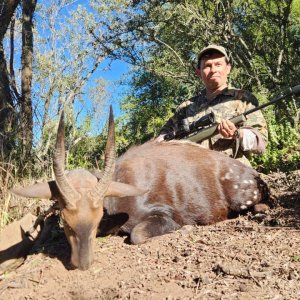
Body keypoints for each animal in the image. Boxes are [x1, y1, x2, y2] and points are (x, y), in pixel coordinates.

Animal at [11, 107, 268, 270]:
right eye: (65, 221)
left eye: (97, 218)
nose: (82, 264)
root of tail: (254, 175)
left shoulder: (163, 214)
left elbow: (137, 234)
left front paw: (186, 228)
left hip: (242, 198)